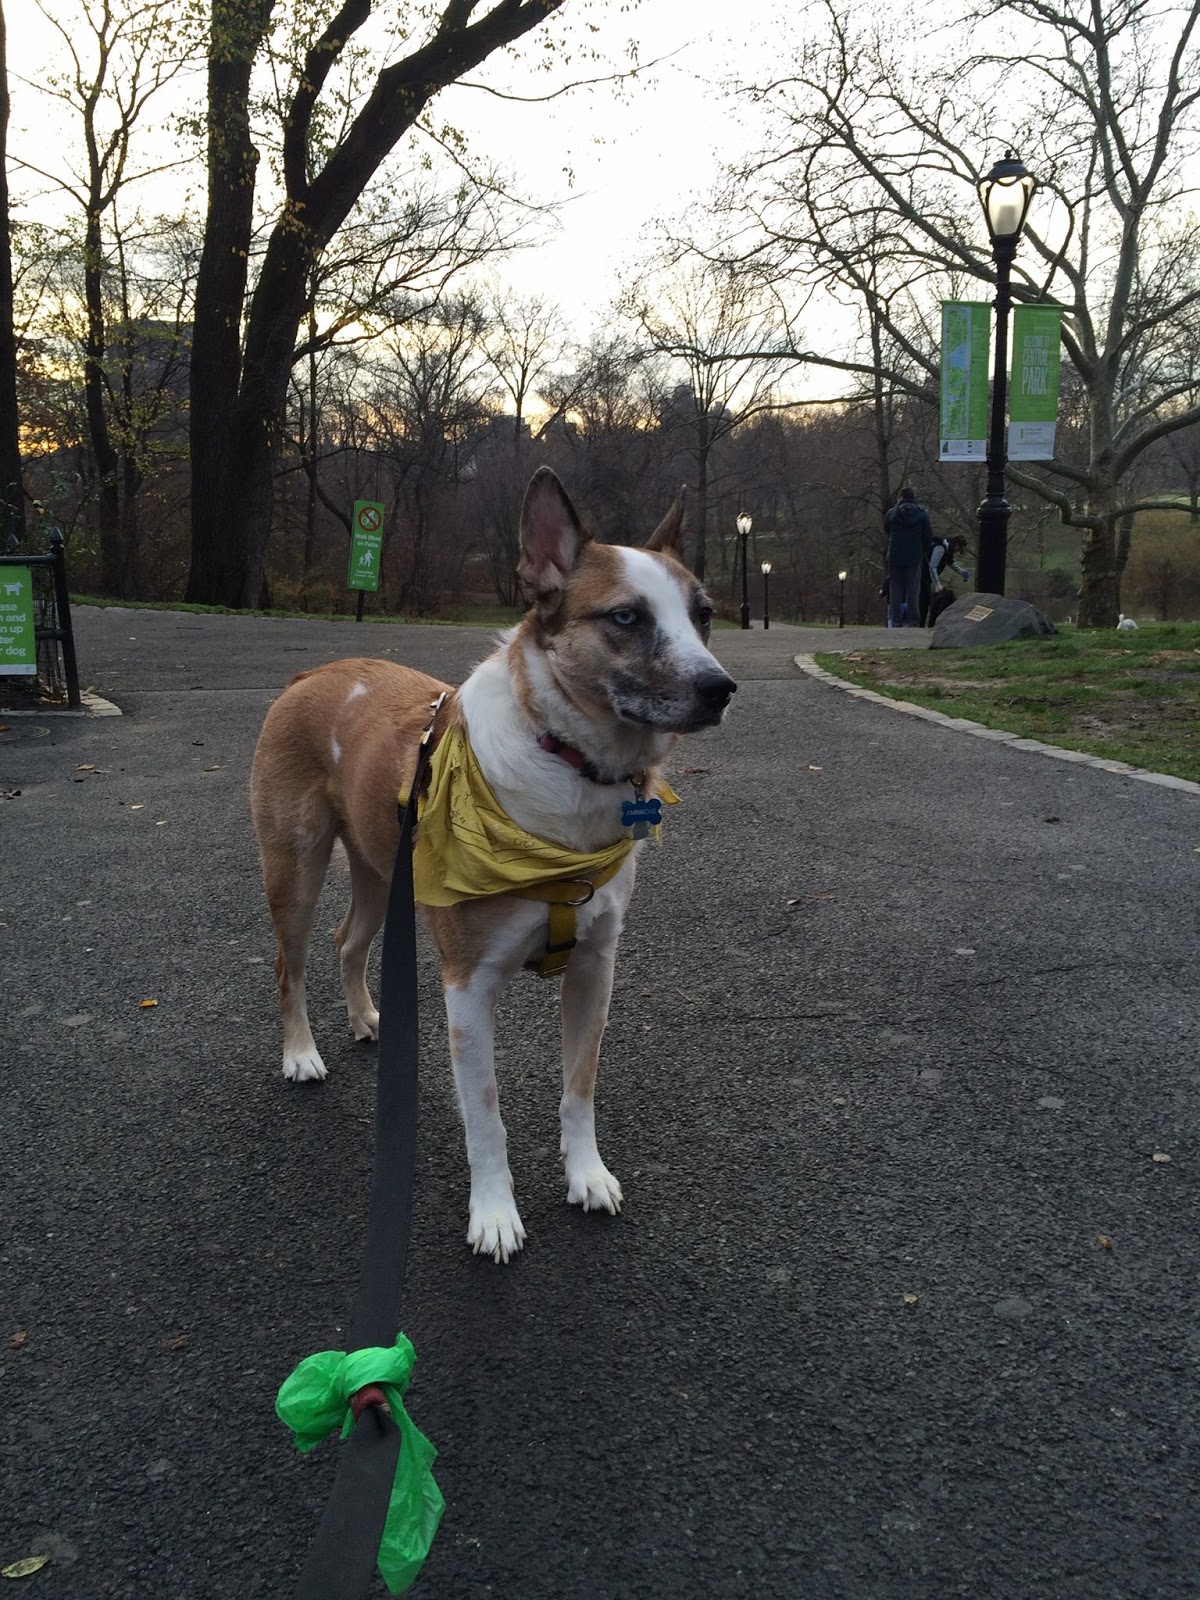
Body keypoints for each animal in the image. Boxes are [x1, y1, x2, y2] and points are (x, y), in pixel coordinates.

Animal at [254, 467, 739, 1267]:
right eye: (627, 618)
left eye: (703, 614)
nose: (720, 688)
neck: (565, 763)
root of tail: (313, 671)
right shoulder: (468, 987)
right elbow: (485, 1116)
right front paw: (494, 1213)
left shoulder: (595, 968)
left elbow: (580, 1086)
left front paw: (586, 1174)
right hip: (294, 867)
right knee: (290, 963)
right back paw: (300, 1053)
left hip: (383, 871)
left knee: (348, 941)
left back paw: (366, 1018)